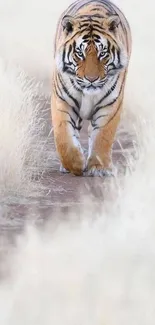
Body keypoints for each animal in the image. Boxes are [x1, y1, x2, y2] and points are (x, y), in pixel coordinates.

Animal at [51, 0, 131, 175]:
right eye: (80, 54)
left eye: (103, 54)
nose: (92, 79)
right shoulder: (62, 101)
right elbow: (64, 137)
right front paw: (75, 164)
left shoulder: (110, 105)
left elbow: (103, 136)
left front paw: (99, 168)